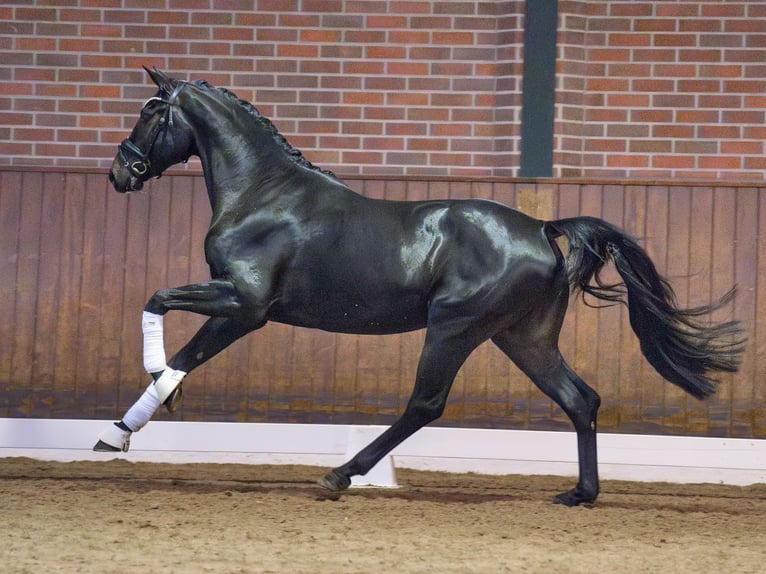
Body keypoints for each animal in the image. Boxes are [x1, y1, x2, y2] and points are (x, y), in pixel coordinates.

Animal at [102, 68, 744, 508]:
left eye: (151, 112)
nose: (120, 173)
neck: (263, 194)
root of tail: (541, 227)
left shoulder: (246, 304)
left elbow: (165, 317)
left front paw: (126, 425)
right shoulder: (238, 303)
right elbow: (175, 331)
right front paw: (132, 423)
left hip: (455, 327)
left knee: (426, 403)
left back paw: (340, 475)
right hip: (522, 337)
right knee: (579, 399)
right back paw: (579, 494)